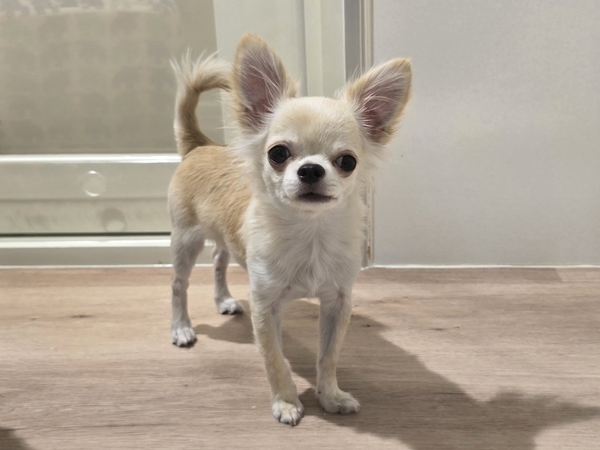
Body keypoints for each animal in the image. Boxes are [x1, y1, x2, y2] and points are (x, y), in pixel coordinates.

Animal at [168, 34, 412, 426]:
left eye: (347, 161)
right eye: (278, 154)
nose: (311, 169)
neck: (309, 233)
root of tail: (200, 145)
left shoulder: (338, 302)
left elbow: (329, 356)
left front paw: (330, 396)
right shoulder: (265, 307)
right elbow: (274, 360)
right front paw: (285, 402)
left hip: (223, 237)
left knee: (219, 260)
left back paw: (223, 300)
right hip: (185, 240)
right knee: (179, 285)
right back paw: (181, 328)